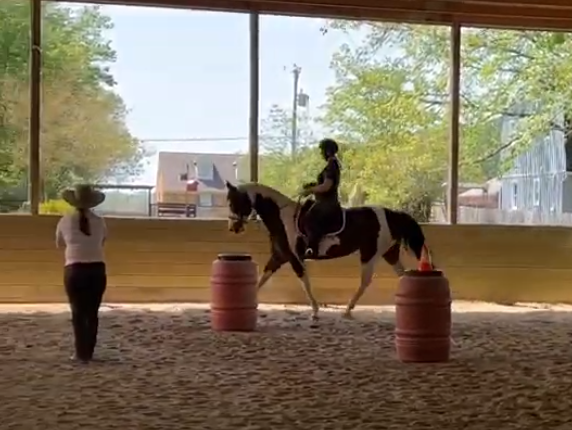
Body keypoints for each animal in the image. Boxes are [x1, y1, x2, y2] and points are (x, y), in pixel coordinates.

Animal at [225, 181, 431, 321]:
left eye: (235, 201)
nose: (233, 227)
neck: (283, 218)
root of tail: (391, 214)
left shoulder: (294, 258)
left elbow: (305, 282)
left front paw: (315, 311)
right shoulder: (279, 256)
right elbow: (262, 278)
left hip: (370, 253)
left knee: (365, 281)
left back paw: (348, 310)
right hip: (389, 253)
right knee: (402, 275)